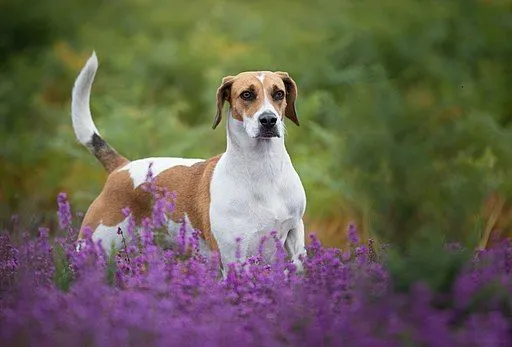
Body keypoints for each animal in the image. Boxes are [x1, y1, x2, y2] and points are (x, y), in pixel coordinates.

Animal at [70, 52, 306, 270]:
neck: (264, 170)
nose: (268, 120)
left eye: (278, 93)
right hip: (93, 246)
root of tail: (121, 167)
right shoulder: (234, 258)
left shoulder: (295, 238)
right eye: (246, 94)